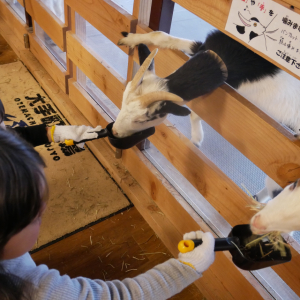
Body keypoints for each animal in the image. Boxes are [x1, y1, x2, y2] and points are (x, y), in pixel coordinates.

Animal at [112, 29, 300, 146]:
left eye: (143, 120)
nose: (114, 131)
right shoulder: (207, 48)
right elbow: (161, 36)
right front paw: (130, 39)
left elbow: (196, 113)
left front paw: (196, 138)